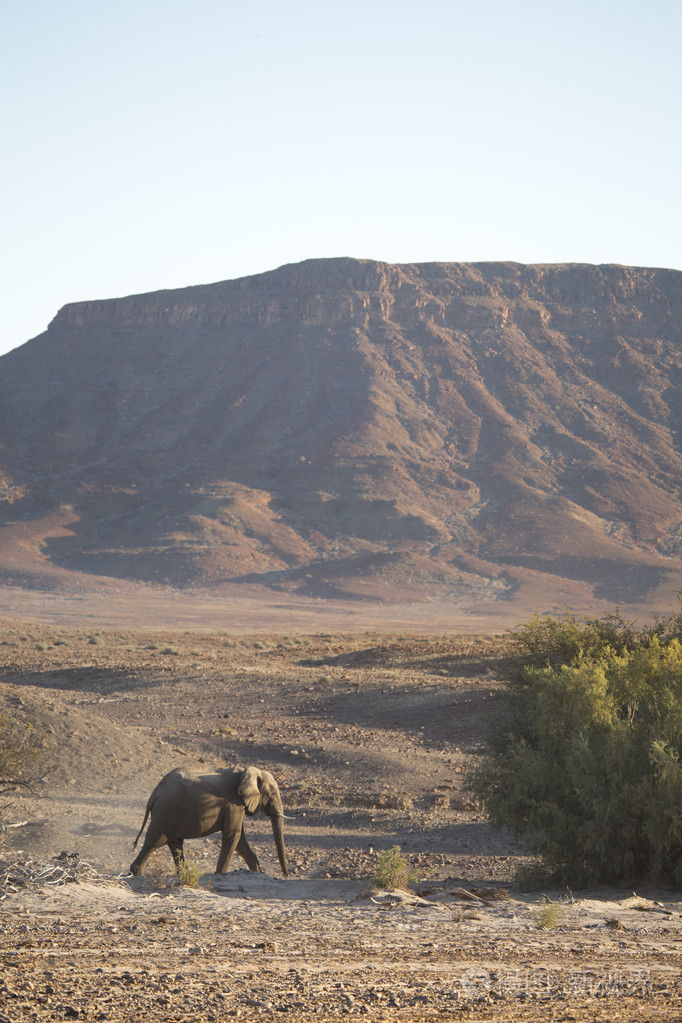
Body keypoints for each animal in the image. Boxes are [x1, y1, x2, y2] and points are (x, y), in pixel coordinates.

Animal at [129, 765, 290, 875]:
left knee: (175, 844)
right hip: (166, 813)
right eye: (273, 793)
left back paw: (183, 874)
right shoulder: (234, 804)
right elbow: (233, 835)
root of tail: (154, 794)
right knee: (154, 842)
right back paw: (137, 873)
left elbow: (240, 840)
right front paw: (221, 874)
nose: (286, 876)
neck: (246, 772)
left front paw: (257, 872)